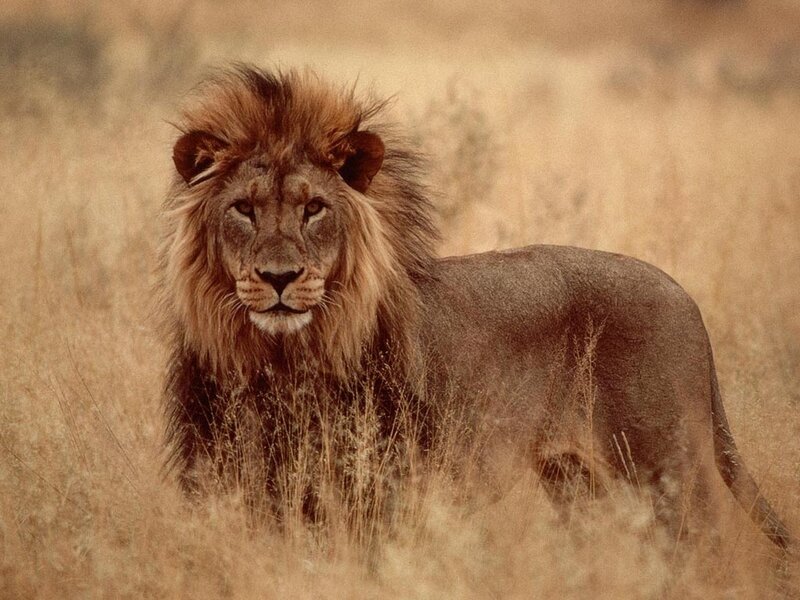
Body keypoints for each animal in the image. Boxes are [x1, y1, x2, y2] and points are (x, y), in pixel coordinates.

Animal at [159, 65, 792, 552]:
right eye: (243, 209)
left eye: (314, 208)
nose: (279, 277)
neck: (280, 357)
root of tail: (684, 296)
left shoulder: (377, 490)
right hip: (575, 479)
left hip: (668, 467)